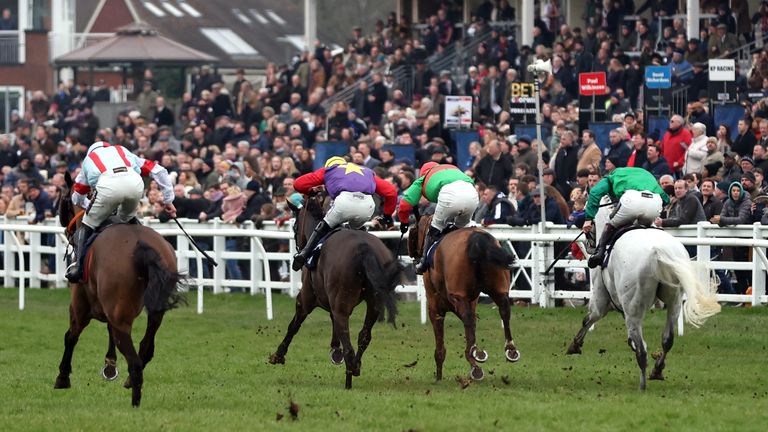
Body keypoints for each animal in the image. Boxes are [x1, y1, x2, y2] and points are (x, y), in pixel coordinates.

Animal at [54, 171, 184, 404]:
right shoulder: (109, 309)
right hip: (153, 311)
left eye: (63, 200)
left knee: (133, 358)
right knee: (145, 348)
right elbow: (108, 331)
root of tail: (142, 246)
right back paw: (131, 383)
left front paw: (62, 378)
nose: (66, 227)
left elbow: (71, 336)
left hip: (119, 313)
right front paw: (109, 366)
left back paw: (135, 401)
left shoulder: (79, 306)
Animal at [268, 191, 402, 390]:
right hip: (374, 303)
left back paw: (349, 378)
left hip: (342, 303)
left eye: (294, 226)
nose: (299, 248)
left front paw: (278, 355)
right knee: (363, 336)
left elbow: (294, 325)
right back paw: (355, 366)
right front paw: (335, 350)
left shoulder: (306, 299)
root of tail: (363, 248)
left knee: (348, 344)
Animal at [408, 216, 520, 382]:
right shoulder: (470, 302)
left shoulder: (435, 306)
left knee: (468, 319)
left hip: (459, 296)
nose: (415, 257)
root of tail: (477, 239)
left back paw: (476, 360)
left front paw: (439, 376)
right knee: (504, 310)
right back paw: (510, 350)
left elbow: (440, 345)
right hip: (499, 289)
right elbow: (472, 327)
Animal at [564, 197, 720, 390]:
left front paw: (575, 345)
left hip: (634, 308)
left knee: (642, 349)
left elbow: (589, 318)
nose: (588, 245)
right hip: (674, 302)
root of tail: (657, 251)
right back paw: (657, 370)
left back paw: (642, 384)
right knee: (667, 339)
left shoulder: (601, 299)